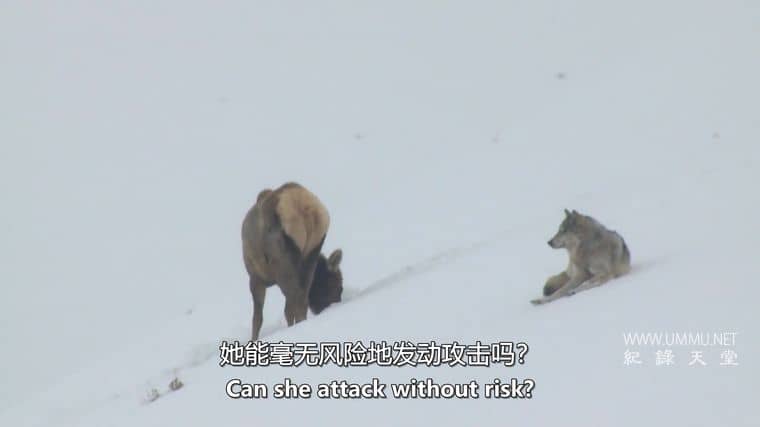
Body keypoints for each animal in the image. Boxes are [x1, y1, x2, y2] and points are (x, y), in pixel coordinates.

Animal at [242, 182, 343, 341]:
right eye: (338, 287)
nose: (332, 306)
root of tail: (304, 208)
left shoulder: (256, 277)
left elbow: (257, 319)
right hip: (310, 253)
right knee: (301, 301)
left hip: (284, 264)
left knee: (294, 304)